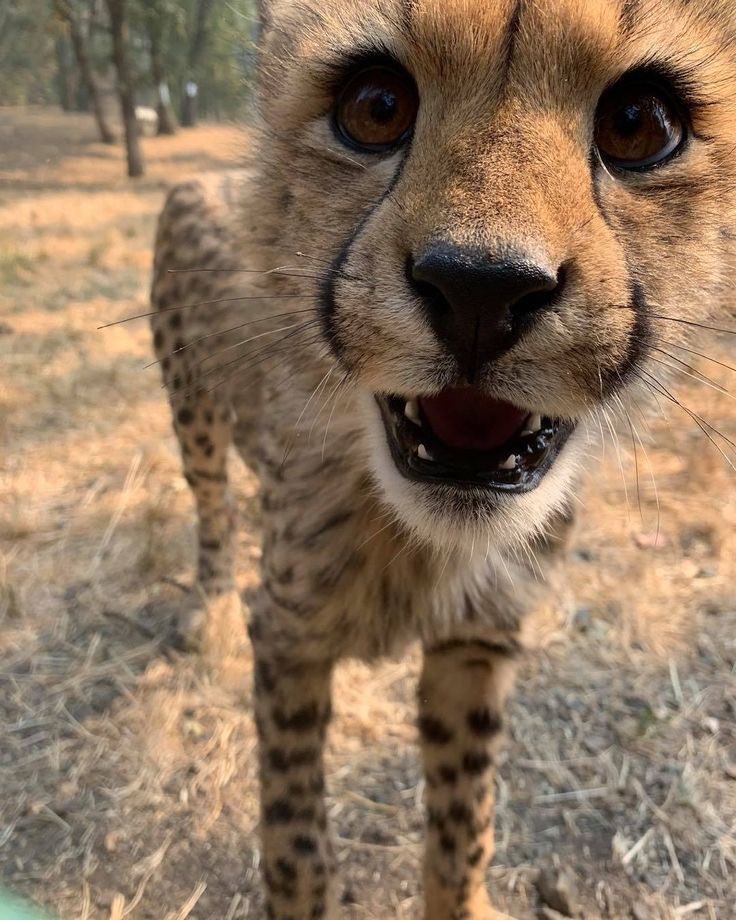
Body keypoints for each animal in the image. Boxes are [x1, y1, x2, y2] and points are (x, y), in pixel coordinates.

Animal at [148, 1, 736, 917]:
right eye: (376, 107)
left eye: (640, 123)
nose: (480, 290)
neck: (426, 538)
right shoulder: (287, 638)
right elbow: (294, 842)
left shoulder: (476, 645)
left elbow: (466, 822)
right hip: (195, 417)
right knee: (212, 506)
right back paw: (204, 605)